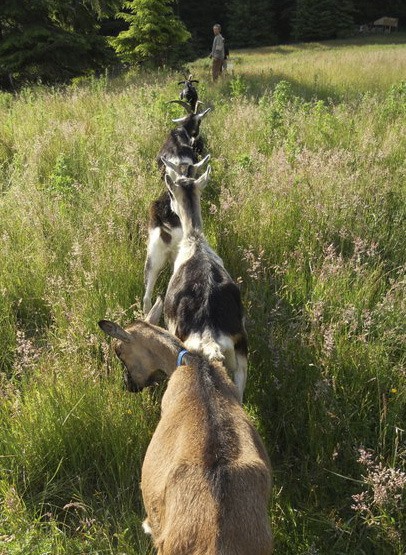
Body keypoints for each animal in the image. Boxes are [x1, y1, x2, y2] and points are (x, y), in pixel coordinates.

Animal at [143, 102, 211, 314]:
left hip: (153, 256)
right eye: (198, 121)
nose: (196, 135)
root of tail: (163, 226)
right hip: (174, 256)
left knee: (146, 296)